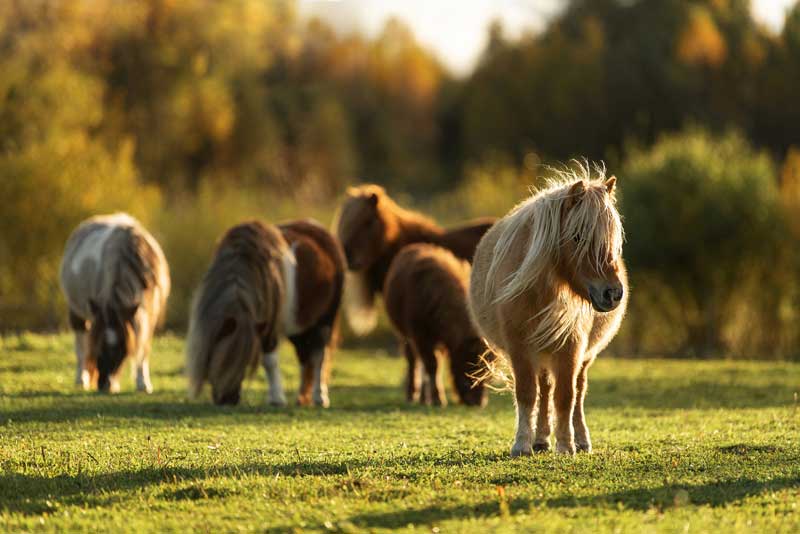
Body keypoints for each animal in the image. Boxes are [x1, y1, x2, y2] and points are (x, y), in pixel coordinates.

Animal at [60, 213, 170, 393]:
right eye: (98, 348)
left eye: (122, 349)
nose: (105, 385)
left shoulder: (149, 315)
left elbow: (143, 347)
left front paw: (143, 383)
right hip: (76, 311)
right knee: (81, 343)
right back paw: (81, 378)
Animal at [186, 219, 345, 407]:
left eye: (245, 360)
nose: (227, 400)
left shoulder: (268, 326)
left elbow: (270, 361)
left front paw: (276, 399)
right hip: (299, 325)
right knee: (305, 357)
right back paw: (301, 397)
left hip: (326, 320)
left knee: (319, 356)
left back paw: (319, 397)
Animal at [384, 244, 492, 407]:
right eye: (471, 365)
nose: (479, 402)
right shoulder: (421, 336)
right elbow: (432, 365)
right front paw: (438, 400)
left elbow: (434, 366)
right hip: (404, 335)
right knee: (413, 361)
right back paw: (412, 395)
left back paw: (424, 398)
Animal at [468, 165, 627, 456]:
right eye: (578, 236)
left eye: (613, 240)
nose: (613, 293)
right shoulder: (519, 347)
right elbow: (528, 394)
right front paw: (522, 444)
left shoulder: (571, 348)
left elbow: (566, 396)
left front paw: (566, 445)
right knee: (543, 390)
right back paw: (540, 440)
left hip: (581, 357)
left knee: (578, 391)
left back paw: (580, 440)